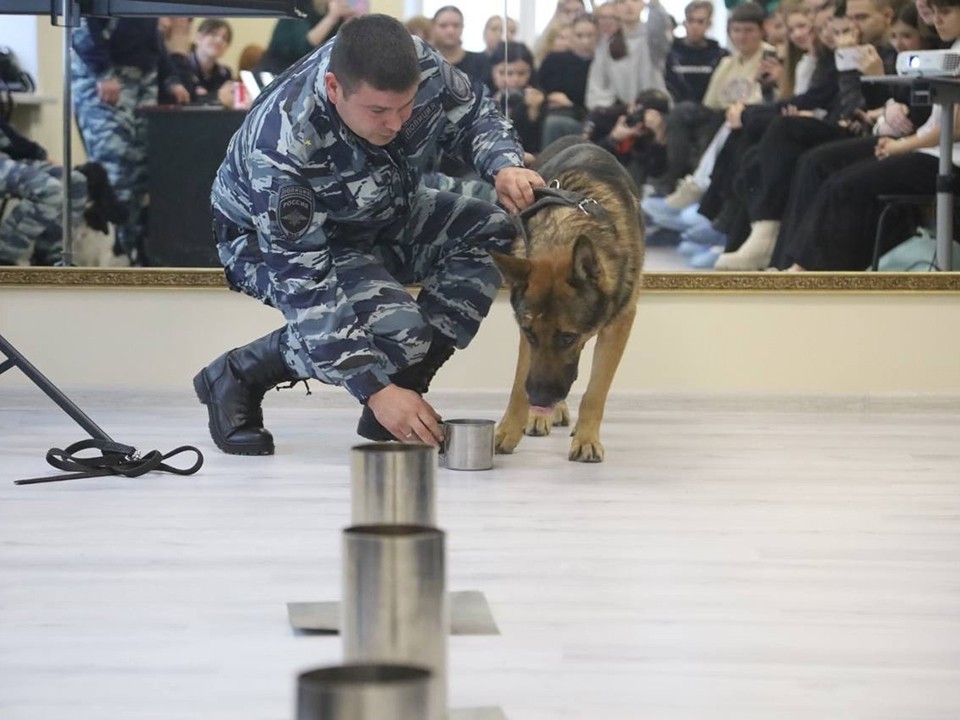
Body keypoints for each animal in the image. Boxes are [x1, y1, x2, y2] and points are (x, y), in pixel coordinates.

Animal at [496, 140, 644, 464]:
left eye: (567, 337)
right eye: (530, 333)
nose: (540, 399)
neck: (563, 233)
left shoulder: (619, 324)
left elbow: (596, 391)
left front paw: (587, 438)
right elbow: (519, 384)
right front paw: (509, 429)